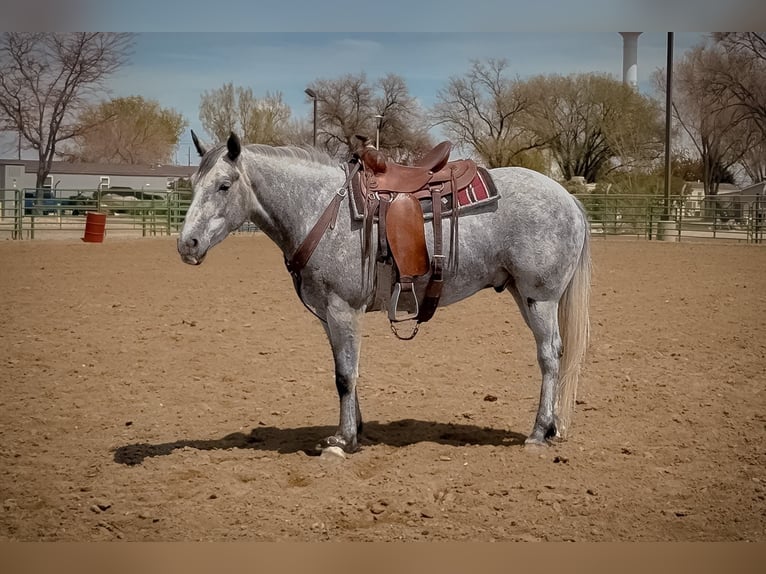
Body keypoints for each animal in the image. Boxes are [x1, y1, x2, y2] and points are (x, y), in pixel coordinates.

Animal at [177, 131, 591, 454]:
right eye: (194, 184)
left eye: (224, 185)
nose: (187, 244)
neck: (319, 209)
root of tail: (567, 198)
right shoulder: (329, 315)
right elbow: (344, 371)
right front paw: (353, 430)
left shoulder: (343, 308)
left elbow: (345, 375)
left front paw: (343, 441)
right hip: (523, 294)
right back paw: (549, 427)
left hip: (541, 298)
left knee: (549, 356)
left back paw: (539, 432)